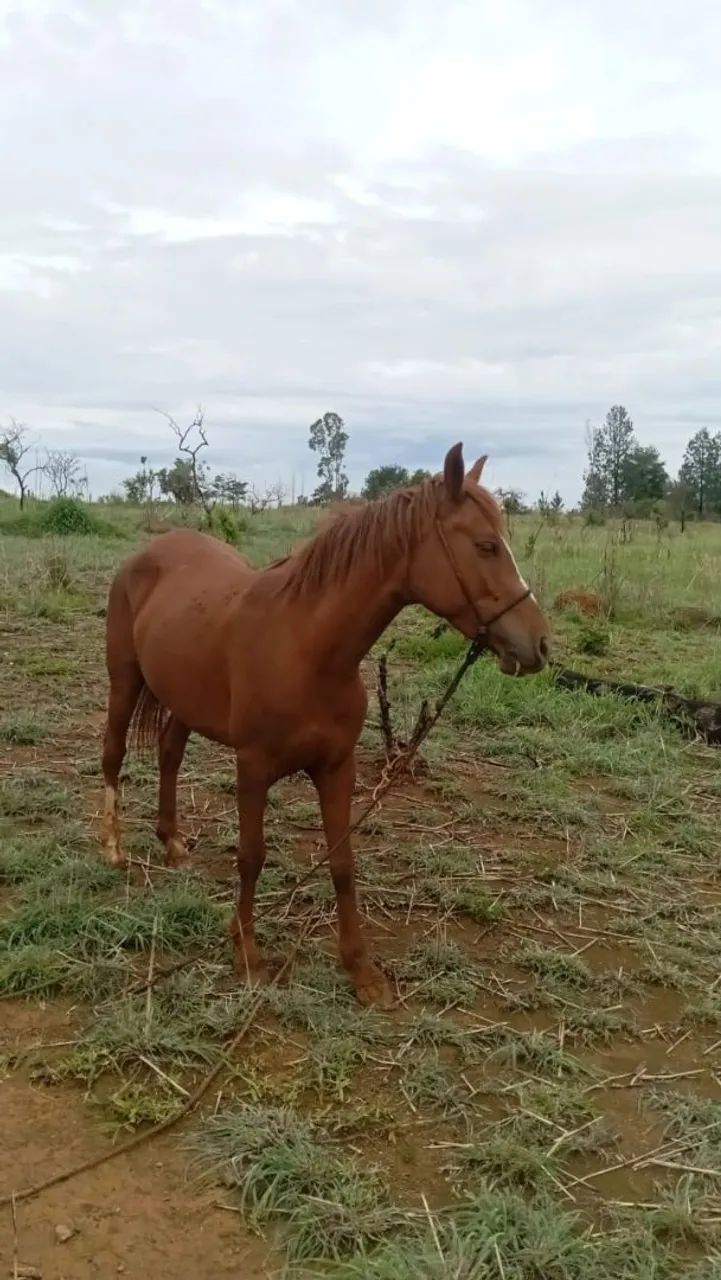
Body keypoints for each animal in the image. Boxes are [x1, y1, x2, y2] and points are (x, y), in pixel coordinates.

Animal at [101, 443, 550, 1006]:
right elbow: (252, 856)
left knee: (168, 754)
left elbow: (342, 863)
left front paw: (361, 969)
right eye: (487, 546)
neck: (308, 647)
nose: (539, 645)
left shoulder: (338, 768)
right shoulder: (252, 768)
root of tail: (148, 553)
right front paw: (247, 953)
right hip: (124, 681)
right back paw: (113, 847)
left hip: (182, 698)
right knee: (113, 753)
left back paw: (172, 842)